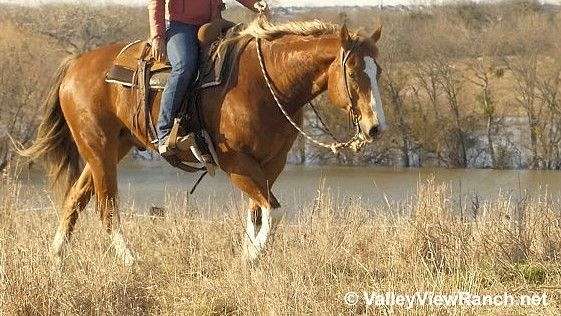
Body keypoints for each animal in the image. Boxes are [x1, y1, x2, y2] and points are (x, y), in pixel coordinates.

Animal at [19, 18, 382, 266]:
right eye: (352, 72)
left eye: (378, 71)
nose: (375, 127)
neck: (266, 84)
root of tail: (75, 65)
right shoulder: (236, 162)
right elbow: (273, 212)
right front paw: (250, 257)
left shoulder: (271, 163)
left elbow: (258, 212)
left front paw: (249, 257)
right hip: (99, 147)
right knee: (106, 207)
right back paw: (130, 261)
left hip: (111, 148)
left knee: (74, 199)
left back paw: (57, 258)